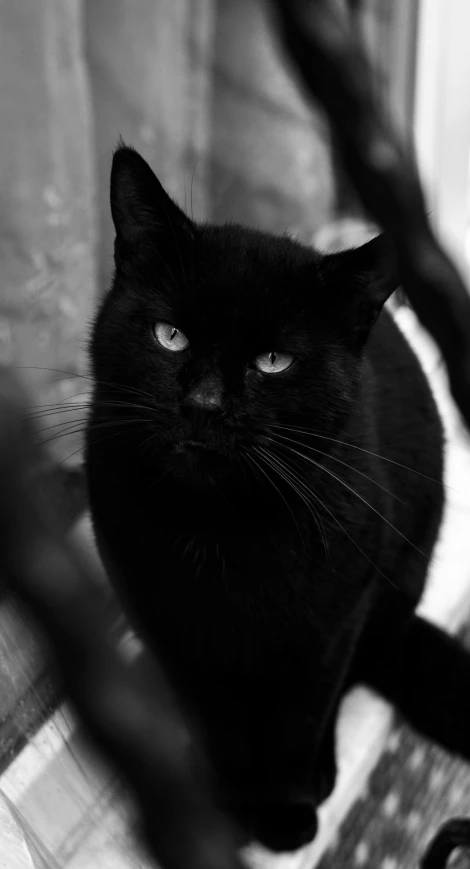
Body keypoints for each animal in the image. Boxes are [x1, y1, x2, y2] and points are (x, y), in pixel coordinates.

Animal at [87, 146, 466, 852]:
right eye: (170, 335)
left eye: (273, 361)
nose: (204, 403)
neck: (218, 526)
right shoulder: (171, 629)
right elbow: (216, 721)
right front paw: (225, 806)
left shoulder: (328, 625)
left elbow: (300, 718)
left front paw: (285, 814)